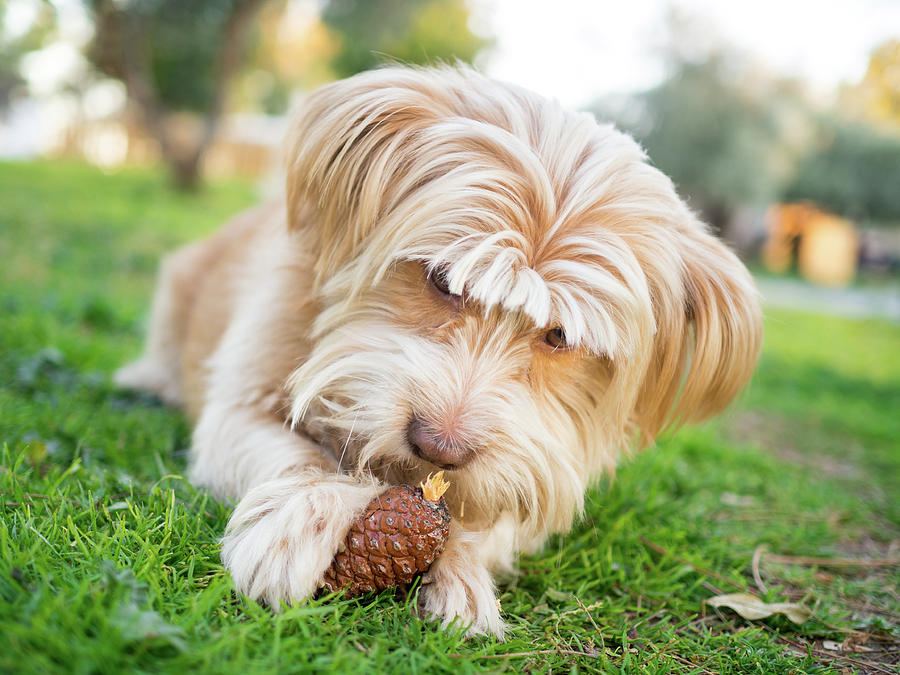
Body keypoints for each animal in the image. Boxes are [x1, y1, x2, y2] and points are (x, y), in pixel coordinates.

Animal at [112, 64, 760, 640]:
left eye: (559, 337)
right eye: (441, 278)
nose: (438, 447)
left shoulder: (535, 463)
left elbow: (490, 514)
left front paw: (463, 575)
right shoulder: (240, 402)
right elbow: (297, 455)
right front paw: (297, 519)